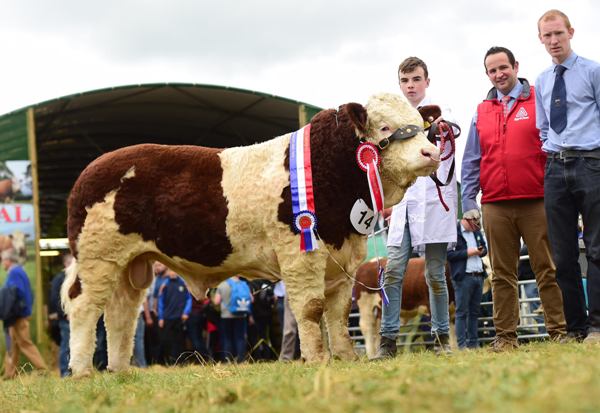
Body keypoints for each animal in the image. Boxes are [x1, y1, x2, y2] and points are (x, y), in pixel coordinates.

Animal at [62, 93, 440, 376]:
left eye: (420, 125)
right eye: (385, 126)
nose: (431, 152)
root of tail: (92, 168)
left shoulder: (343, 259)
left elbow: (337, 313)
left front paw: (346, 357)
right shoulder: (300, 253)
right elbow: (312, 308)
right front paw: (317, 359)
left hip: (131, 264)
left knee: (120, 314)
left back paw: (120, 369)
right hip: (98, 258)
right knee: (85, 307)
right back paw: (82, 371)